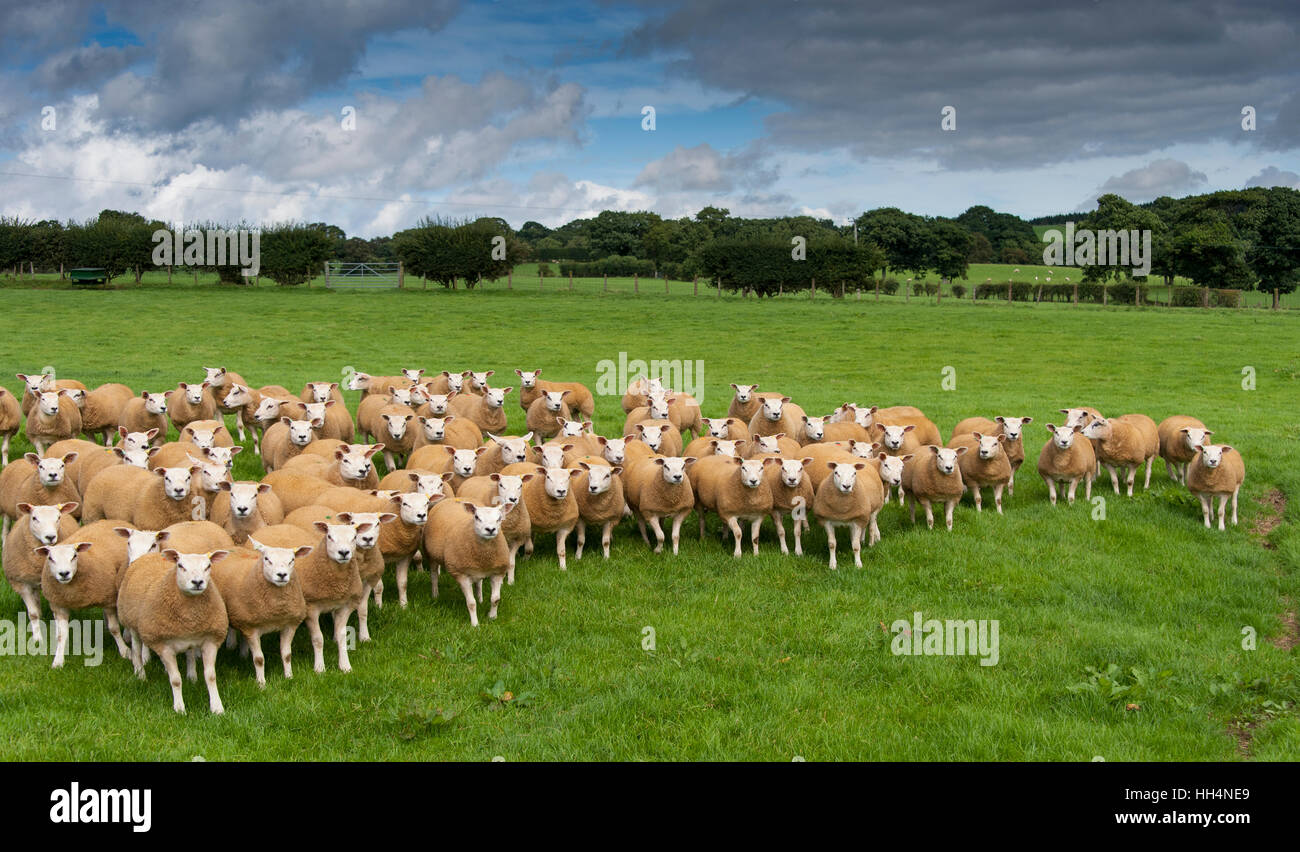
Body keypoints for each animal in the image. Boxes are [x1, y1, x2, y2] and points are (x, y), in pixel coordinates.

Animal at [3, 502, 79, 644]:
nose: (50, 537)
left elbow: (57, 615)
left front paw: (57, 635)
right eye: (34, 518)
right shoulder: (22, 584)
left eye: (58, 517)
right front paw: (38, 639)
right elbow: (33, 614)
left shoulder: (53, 587)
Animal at [41, 521, 135, 666]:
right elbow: (61, 635)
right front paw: (58, 660)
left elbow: (114, 628)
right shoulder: (58, 605)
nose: (64, 573)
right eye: (50, 558)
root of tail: (115, 521)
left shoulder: (108, 599)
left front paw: (125, 651)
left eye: (74, 556)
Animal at [116, 549, 230, 713]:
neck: (190, 617)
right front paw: (179, 708)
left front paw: (217, 707)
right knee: (136, 649)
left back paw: (192, 676)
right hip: (132, 622)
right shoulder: (164, 646)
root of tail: (151, 555)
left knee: (190, 653)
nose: (197, 582)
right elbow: (175, 679)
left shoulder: (210, 640)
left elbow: (211, 676)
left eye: (208, 566)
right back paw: (140, 674)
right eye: (180, 566)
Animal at [210, 539, 311, 686]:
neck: (276, 611)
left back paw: (243, 655)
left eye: (292, 560)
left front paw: (289, 677)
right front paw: (261, 683)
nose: (282, 575)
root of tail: (232, 547)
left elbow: (287, 655)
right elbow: (259, 659)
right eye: (267, 559)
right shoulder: (252, 629)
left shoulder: (290, 625)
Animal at [252, 521, 364, 672]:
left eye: (354, 537)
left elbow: (342, 636)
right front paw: (319, 667)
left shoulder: (345, 606)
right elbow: (318, 639)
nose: (344, 552)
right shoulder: (311, 608)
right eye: (329, 536)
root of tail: (275, 526)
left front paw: (345, 666)